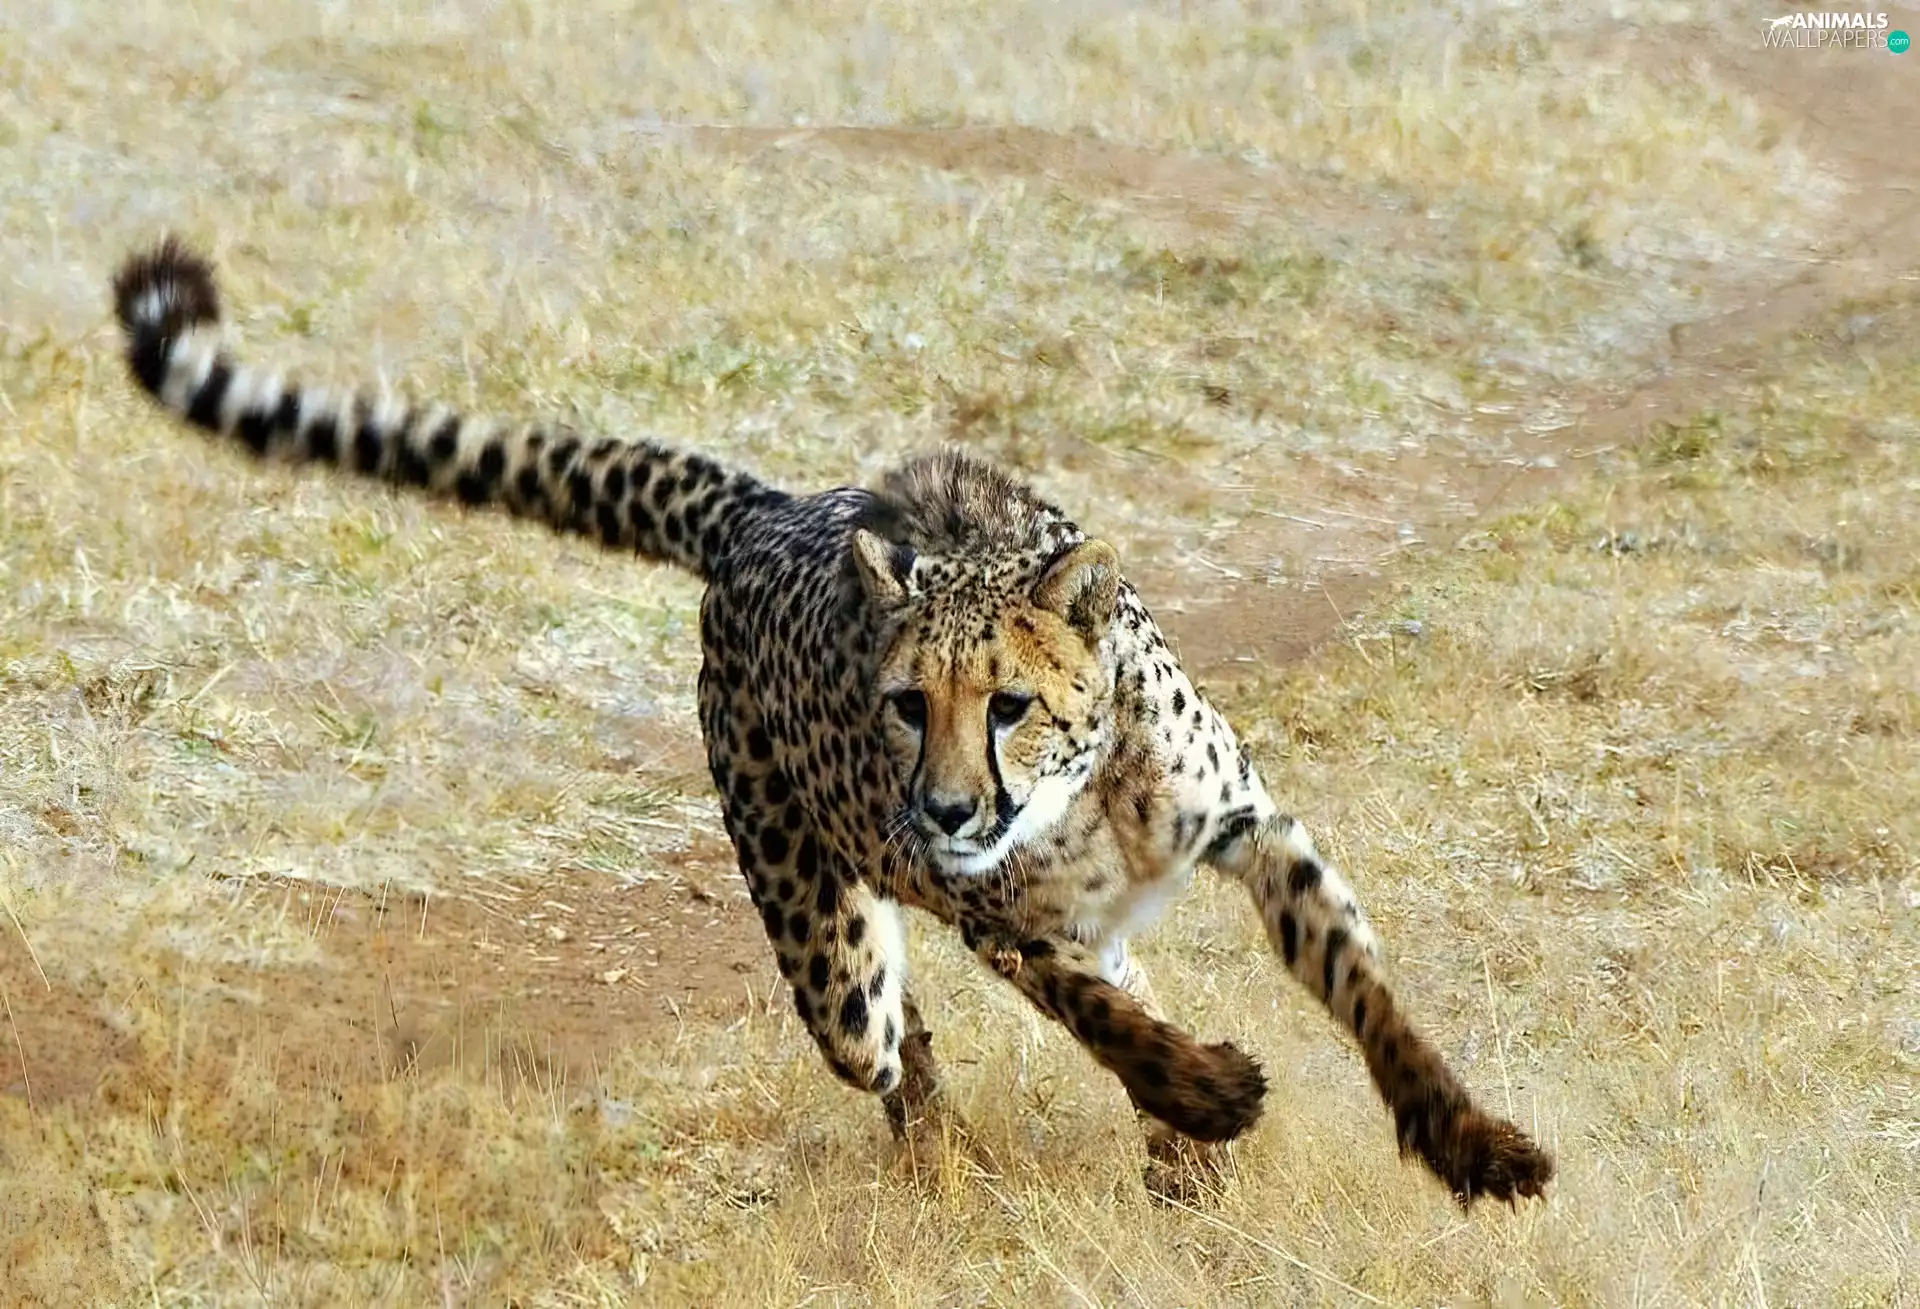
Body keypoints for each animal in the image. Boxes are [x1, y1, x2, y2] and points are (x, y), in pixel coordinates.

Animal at [110, 237, 1554, 1207]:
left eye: (1010, 704)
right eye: (906, 705)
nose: (948, 807)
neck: (1089, 792)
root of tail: (771, 507)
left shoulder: (1254, 829)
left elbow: (1368, 996)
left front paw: (1472, 1143)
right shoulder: (999, 914)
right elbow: (1103, 1015)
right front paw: (1205, 1087)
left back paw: (1158, 1155)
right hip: (829, 949)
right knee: (891, 1033)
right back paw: (958, 1155)